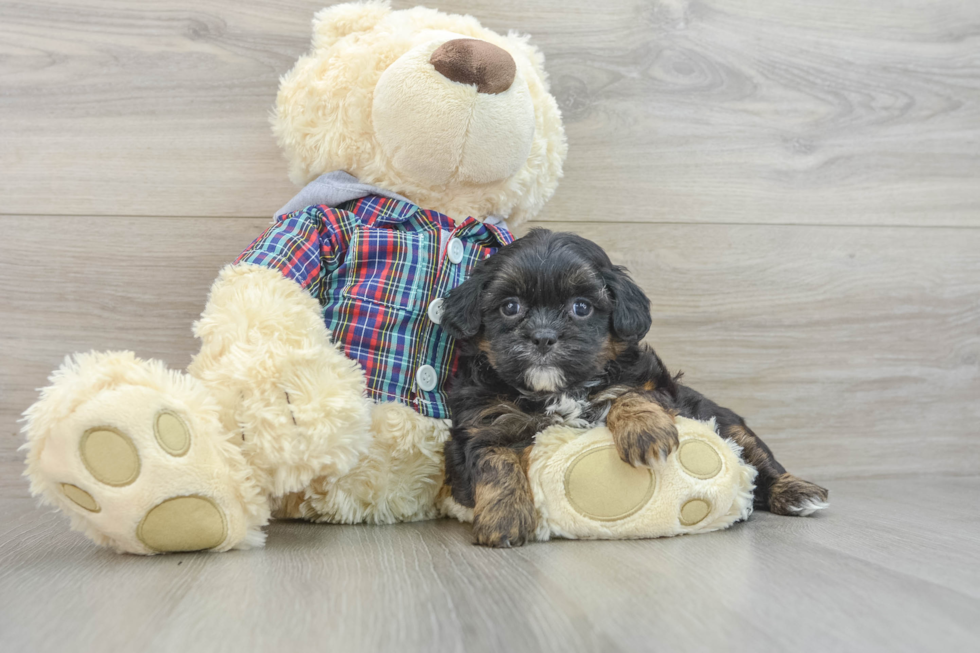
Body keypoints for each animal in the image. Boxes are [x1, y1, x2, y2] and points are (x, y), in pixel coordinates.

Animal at [442, 229, 828, 544]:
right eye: (510, 307)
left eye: (581, 307)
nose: (543, 337)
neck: (558, 391)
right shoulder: (478, 426)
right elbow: (493, 459)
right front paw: (504, 517)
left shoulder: (655, 386)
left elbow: (629, 393)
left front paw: (644, 433)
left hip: (730, 424)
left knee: (760, 460)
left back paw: (798, 492)